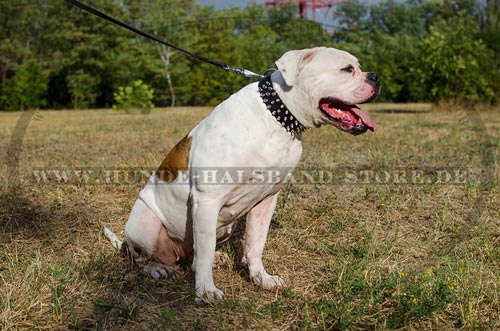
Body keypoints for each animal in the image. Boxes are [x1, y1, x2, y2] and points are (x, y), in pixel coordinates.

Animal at [105, 46, 378, 304]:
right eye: (347, 69)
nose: (375, 77)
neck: (277, 118)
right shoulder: (207, 200)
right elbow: (204, 254)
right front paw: (206, 291)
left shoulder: (266, 200)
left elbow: (255, 245)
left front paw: (261, 279)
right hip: (146, 224)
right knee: (146, 259)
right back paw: (157, 269)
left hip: (223, 228)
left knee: (194, 254)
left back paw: (215, 258)